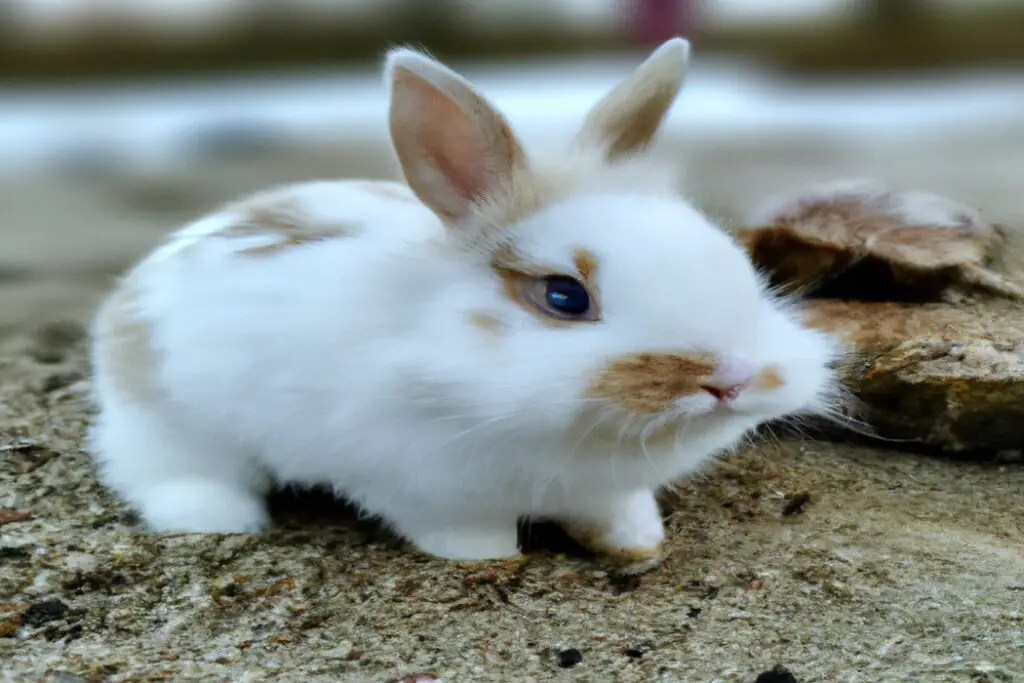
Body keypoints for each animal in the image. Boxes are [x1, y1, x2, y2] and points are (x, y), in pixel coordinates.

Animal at [87, 37, 841, 569]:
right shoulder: (420, 486)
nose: (733, 379)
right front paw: (488, 560)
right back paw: (217, 520)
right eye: (564, 296)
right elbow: (468, 536)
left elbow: (619, 515)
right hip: (169, 426)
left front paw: (638, 548)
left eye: (737, 262)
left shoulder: (607, 489)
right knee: (164, 473)